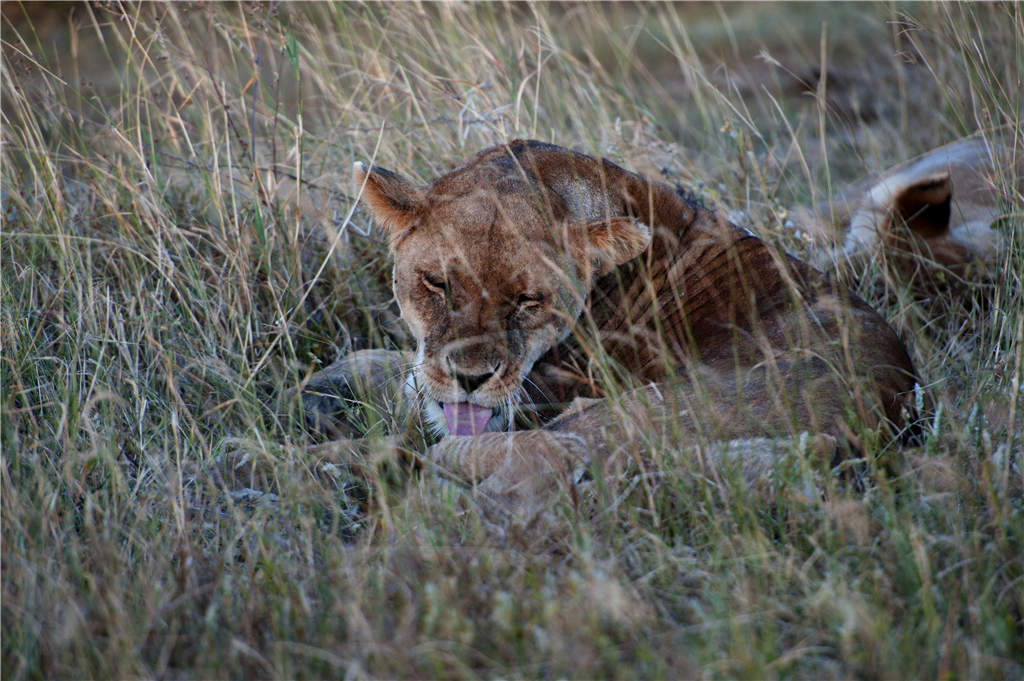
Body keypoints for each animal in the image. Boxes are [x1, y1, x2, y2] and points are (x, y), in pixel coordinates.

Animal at [299, 142, 917, 516]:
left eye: (527, 301)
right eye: (437, 284)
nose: (470, 380)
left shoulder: (536, 396)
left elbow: (414, 404)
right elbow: (396, 369)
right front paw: (331, 382)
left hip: (616, 418)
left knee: (464, 472)